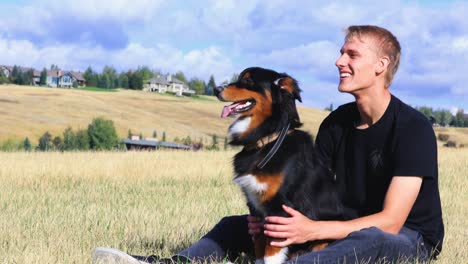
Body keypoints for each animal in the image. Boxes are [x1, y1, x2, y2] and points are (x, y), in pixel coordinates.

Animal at [216, 67, 344, 264]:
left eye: (248, 81)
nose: (216, 89)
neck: (267, 140)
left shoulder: (279, 208)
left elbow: (271, 251)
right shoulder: (256, 207)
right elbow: (259, 245)